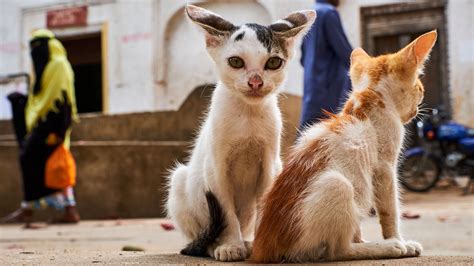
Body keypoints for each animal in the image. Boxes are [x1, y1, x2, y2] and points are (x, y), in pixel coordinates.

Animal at [252, 30, 436, 262]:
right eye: (420, 89)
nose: (417, 110)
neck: (371, 95)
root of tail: (263, 247)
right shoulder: (384, 166)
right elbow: (390, 210)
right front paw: (398, 241)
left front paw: (362, 238)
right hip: (337, 183)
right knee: (337, 251)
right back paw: (383, 248)